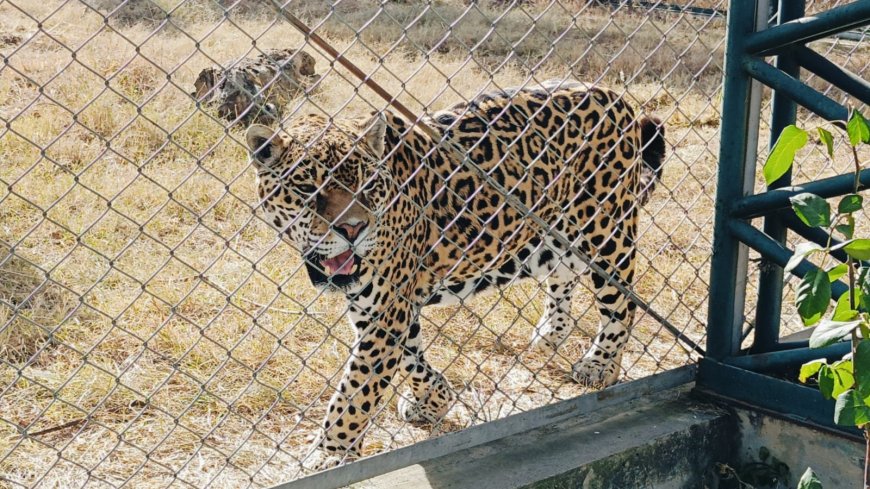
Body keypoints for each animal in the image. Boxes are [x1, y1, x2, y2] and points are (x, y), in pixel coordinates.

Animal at [244, 80, 666, 470]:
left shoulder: (387, 308)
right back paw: (549, 334)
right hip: (553, 234)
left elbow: (357, 389)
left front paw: (331, 454)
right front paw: (433, 401)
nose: (352, 229)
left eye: (367, 184)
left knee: (621, 301)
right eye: (306, 189)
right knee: (564, 275)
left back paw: (601, 365)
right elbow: (411, 357)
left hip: (605, 230)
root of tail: (613, 95)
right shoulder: (382, 304)